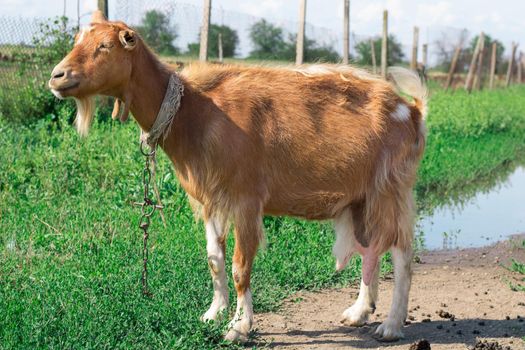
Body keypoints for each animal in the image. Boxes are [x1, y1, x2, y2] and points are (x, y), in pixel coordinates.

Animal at [48, 11, 426, 342]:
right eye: (78, 40)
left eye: (105, 46)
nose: (57, 76)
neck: (197, 111)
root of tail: (412, 111)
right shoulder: (211, 199)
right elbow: (214, 260)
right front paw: (212, 314)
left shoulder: (246, 200)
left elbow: (239, 266)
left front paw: (239, 326)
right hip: (361, 199)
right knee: (370, 249)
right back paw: (359, 312)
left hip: (390, 188)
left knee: (402, 254)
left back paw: (391, 326)